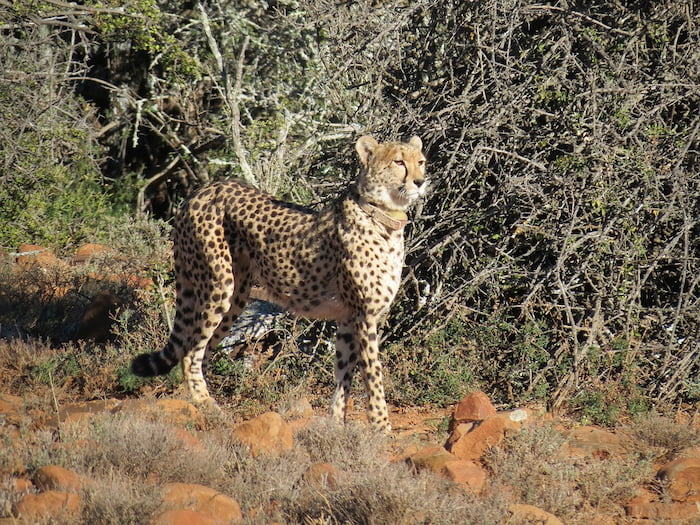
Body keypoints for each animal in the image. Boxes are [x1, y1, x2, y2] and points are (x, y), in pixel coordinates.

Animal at [131, 135, 427, 433]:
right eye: (398, 162)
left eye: (421, 161)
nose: (420, 181)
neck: (383, 215)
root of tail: (205, 188)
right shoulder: (365, 316)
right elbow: (373, 375)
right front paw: (381, 427)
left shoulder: (348, 317)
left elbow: (343, 373)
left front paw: (336, 425)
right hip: (217, 286)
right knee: (191, 352)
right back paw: (209, 407)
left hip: (236, 296)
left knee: (200, 350)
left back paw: (202, 404)